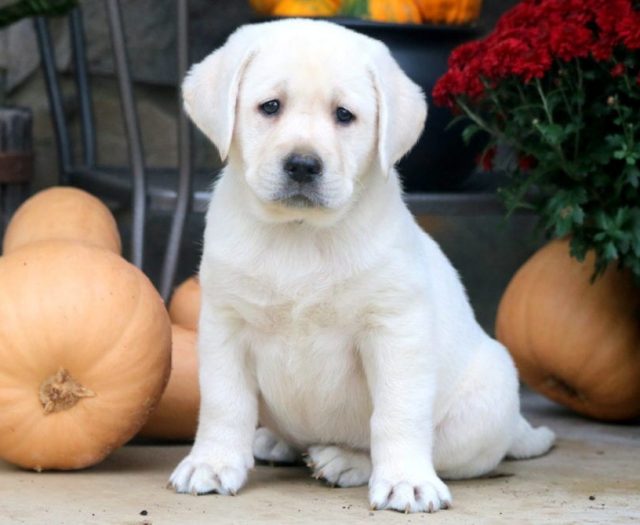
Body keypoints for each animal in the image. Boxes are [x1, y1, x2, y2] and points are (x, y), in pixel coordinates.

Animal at [171, 19, 556, 512]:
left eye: (344, 115)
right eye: (270, 107)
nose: (302, 164)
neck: (300, 234)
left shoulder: (395, 330)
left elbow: (396, 413)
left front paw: (406, 481)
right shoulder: (225, 324)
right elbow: (224, 402)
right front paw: (214, 462)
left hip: (483, 400)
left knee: (431, 448)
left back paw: (345, 461)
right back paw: (275, 442)